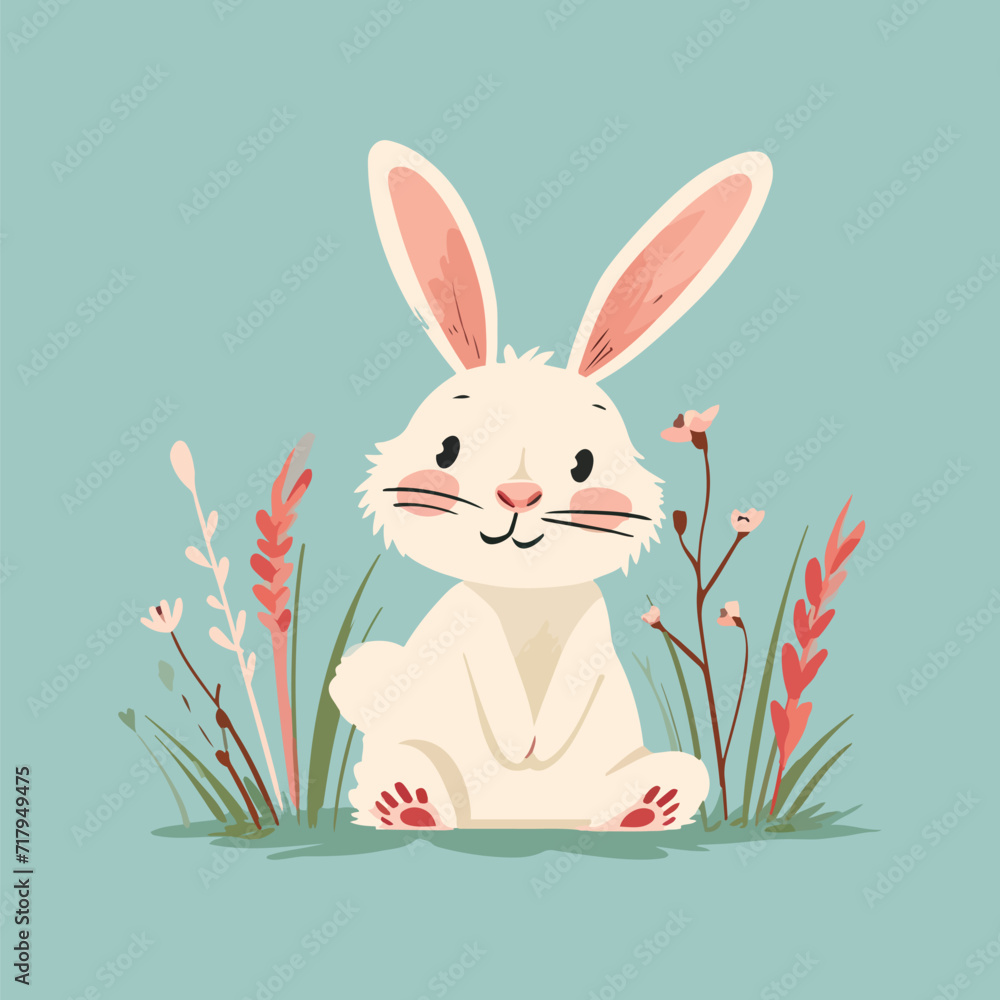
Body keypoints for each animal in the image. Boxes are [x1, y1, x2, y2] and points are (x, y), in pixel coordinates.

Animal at [328, 140, 772, 830]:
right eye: (449, 448)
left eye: (585, 463)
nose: (519, 496)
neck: (525, 599)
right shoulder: (468, 615)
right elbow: (486, 660)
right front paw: (520, 743)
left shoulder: (589, 619)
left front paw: (542, 740)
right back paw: (407, 804)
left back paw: (645, 807)